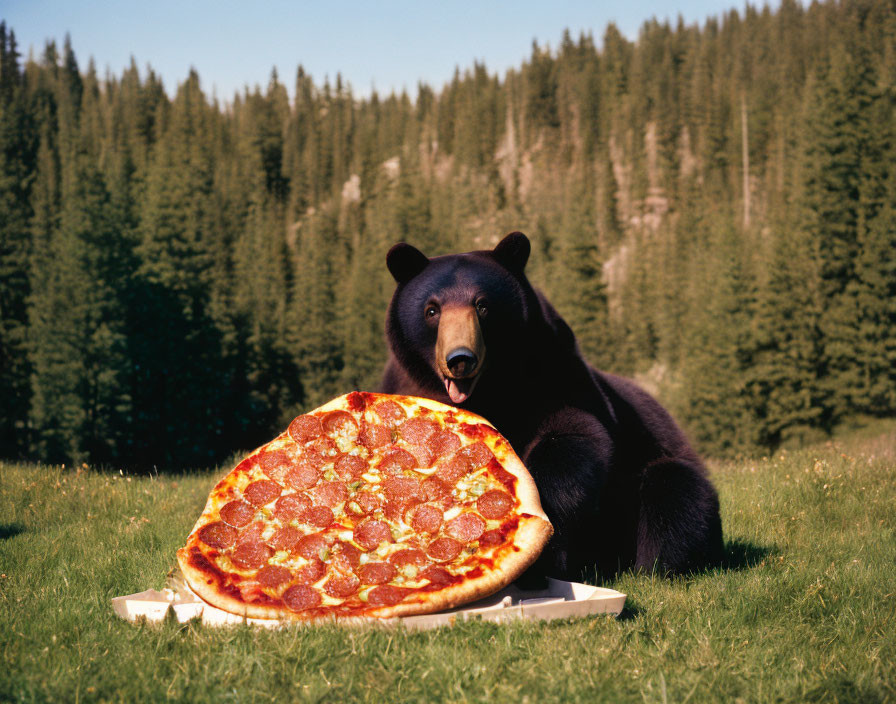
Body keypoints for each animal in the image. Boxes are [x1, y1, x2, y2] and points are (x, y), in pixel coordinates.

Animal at [382, 234, 724, 580]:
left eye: (482, 305)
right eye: (432, 310)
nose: (460, 358)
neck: (489, 392)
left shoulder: (555, 379)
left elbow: (571, 441)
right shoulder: (407, 387)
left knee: (674, 492)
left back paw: (655, 567)